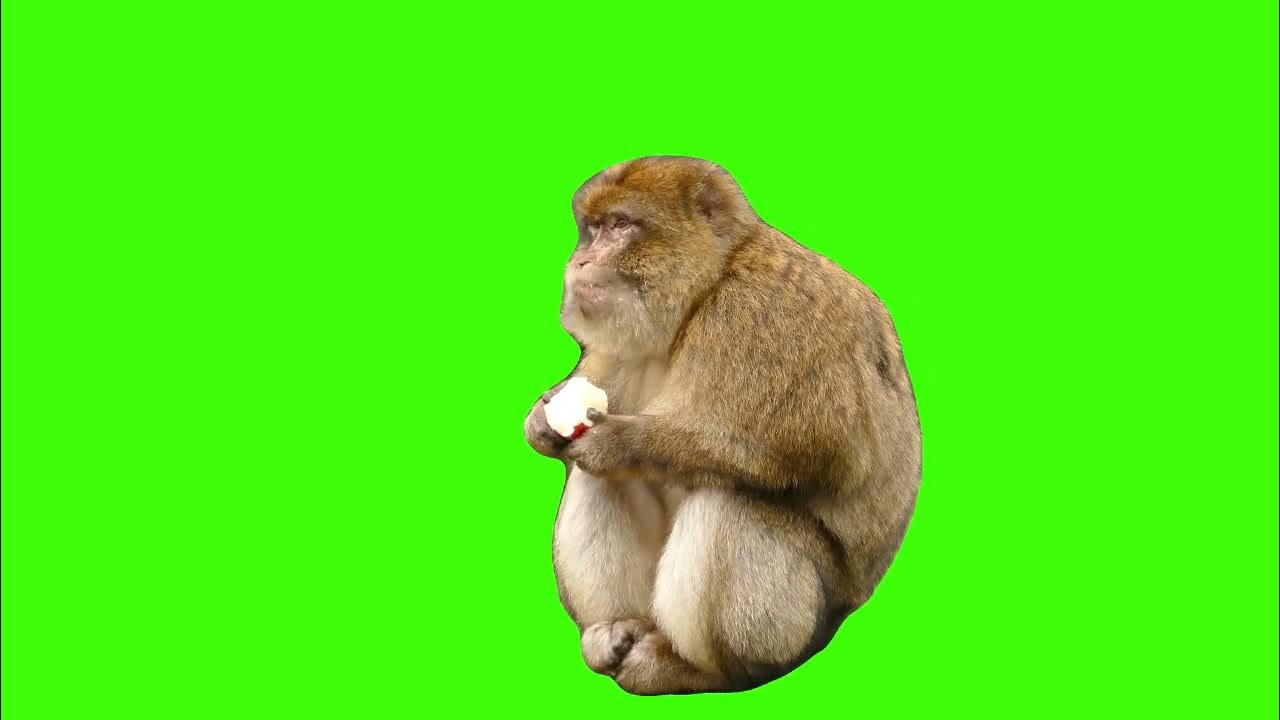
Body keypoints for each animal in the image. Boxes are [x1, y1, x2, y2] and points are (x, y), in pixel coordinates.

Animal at [522, 156, 921, 695]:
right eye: (593, 229)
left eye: (621, 226)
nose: (579, 262)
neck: (703, 291)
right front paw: (543, 419)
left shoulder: (758, 316)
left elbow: (821, 449)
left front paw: (619, 442)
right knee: (599, 482)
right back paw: (618, 626)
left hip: (800, 623)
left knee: (728, 501)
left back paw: (701, 670)